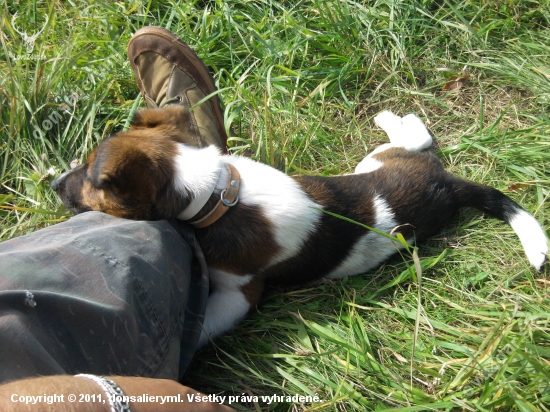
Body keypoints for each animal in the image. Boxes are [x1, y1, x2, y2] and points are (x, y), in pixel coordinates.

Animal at [50, 104, 548, 346]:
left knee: (417, 137)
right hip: (374, 164)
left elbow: (204, 324)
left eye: (92, 179)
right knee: (418, 139)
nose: (52, 183)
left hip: (377, 163)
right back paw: (396, 119)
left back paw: (391, 118)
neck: (217, 195)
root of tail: (449, 186)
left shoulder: (240, 293)